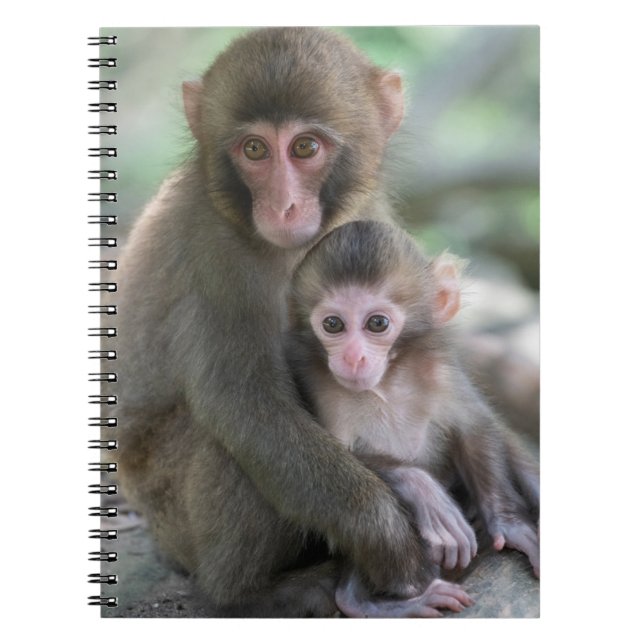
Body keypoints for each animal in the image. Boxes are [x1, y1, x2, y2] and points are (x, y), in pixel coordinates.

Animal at [113, 27, 451, 617]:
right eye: (254, 149)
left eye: (305, 148)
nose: (284, 206)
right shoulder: (214, 254)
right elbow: (245, 404)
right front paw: (390, 545)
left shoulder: (368, 218)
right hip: (173, 516)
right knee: (231, 446)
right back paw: (251, 593)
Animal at [287, 219, 540, 617]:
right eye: (333, 324)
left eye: (377, 323)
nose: (353, 357)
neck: (386, 384)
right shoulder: (318, 382)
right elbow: (330, 458)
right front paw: (425, 493)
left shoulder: (441, 370)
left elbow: (474, 428)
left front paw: (511, 525)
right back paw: (368, 601)